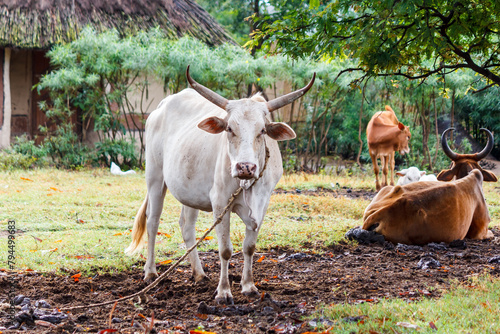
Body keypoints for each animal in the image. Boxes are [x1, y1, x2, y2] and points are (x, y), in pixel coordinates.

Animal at [126, 66, 312, 304]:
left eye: (262, 130)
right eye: (229, 129)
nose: (245, 166)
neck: (246, 184)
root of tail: (162, 105)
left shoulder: (262, 204)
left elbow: (249, 247)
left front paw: (248, 286)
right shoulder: (220, 202)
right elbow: (225, 250)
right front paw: (224, 292)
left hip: (190, 191)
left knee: (186, 226)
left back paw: (199, 274)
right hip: (155, 177)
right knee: (152, 222)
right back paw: (150, 273)